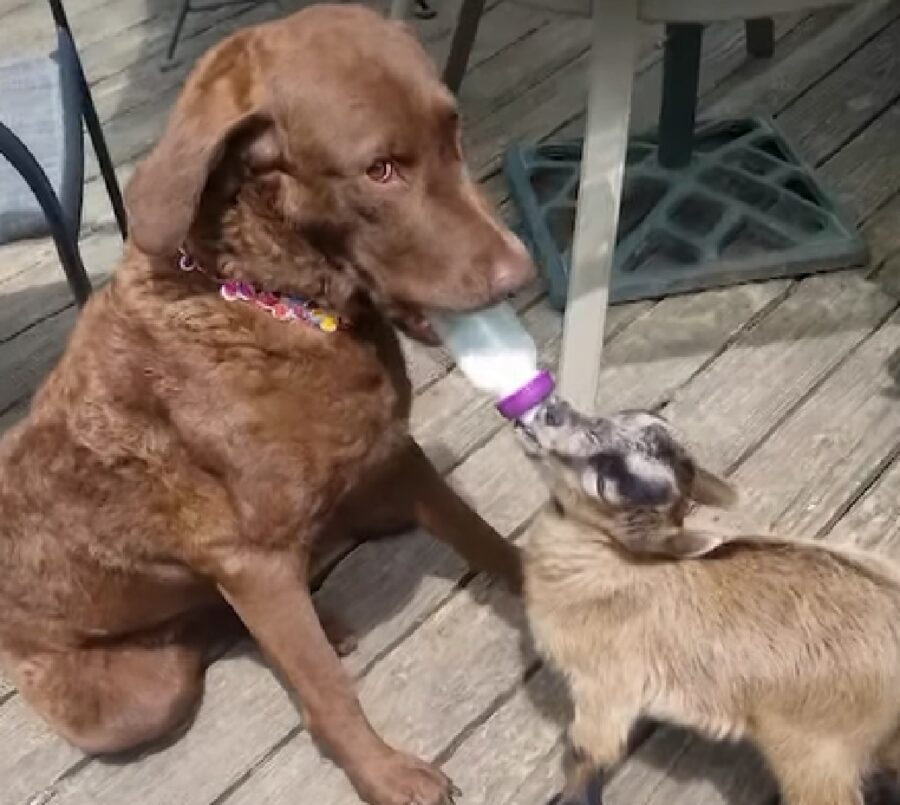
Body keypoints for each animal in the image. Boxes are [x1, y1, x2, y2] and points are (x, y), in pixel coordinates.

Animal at [0, 6, 536, 804]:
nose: (519, 274)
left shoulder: (396, 451)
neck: (273, 300)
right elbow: (326, 691)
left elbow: (479, 532)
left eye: (454, 132)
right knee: (200, 639)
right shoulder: (251, 561)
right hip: (133, 700)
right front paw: (384, 773)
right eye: (381, 170)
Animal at [516, 400, 900, 804]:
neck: (608, 563)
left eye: (606, 478)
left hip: (816, 751)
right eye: (616, 415)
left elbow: (588, 754)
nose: (552, 409)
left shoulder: (603, 685)